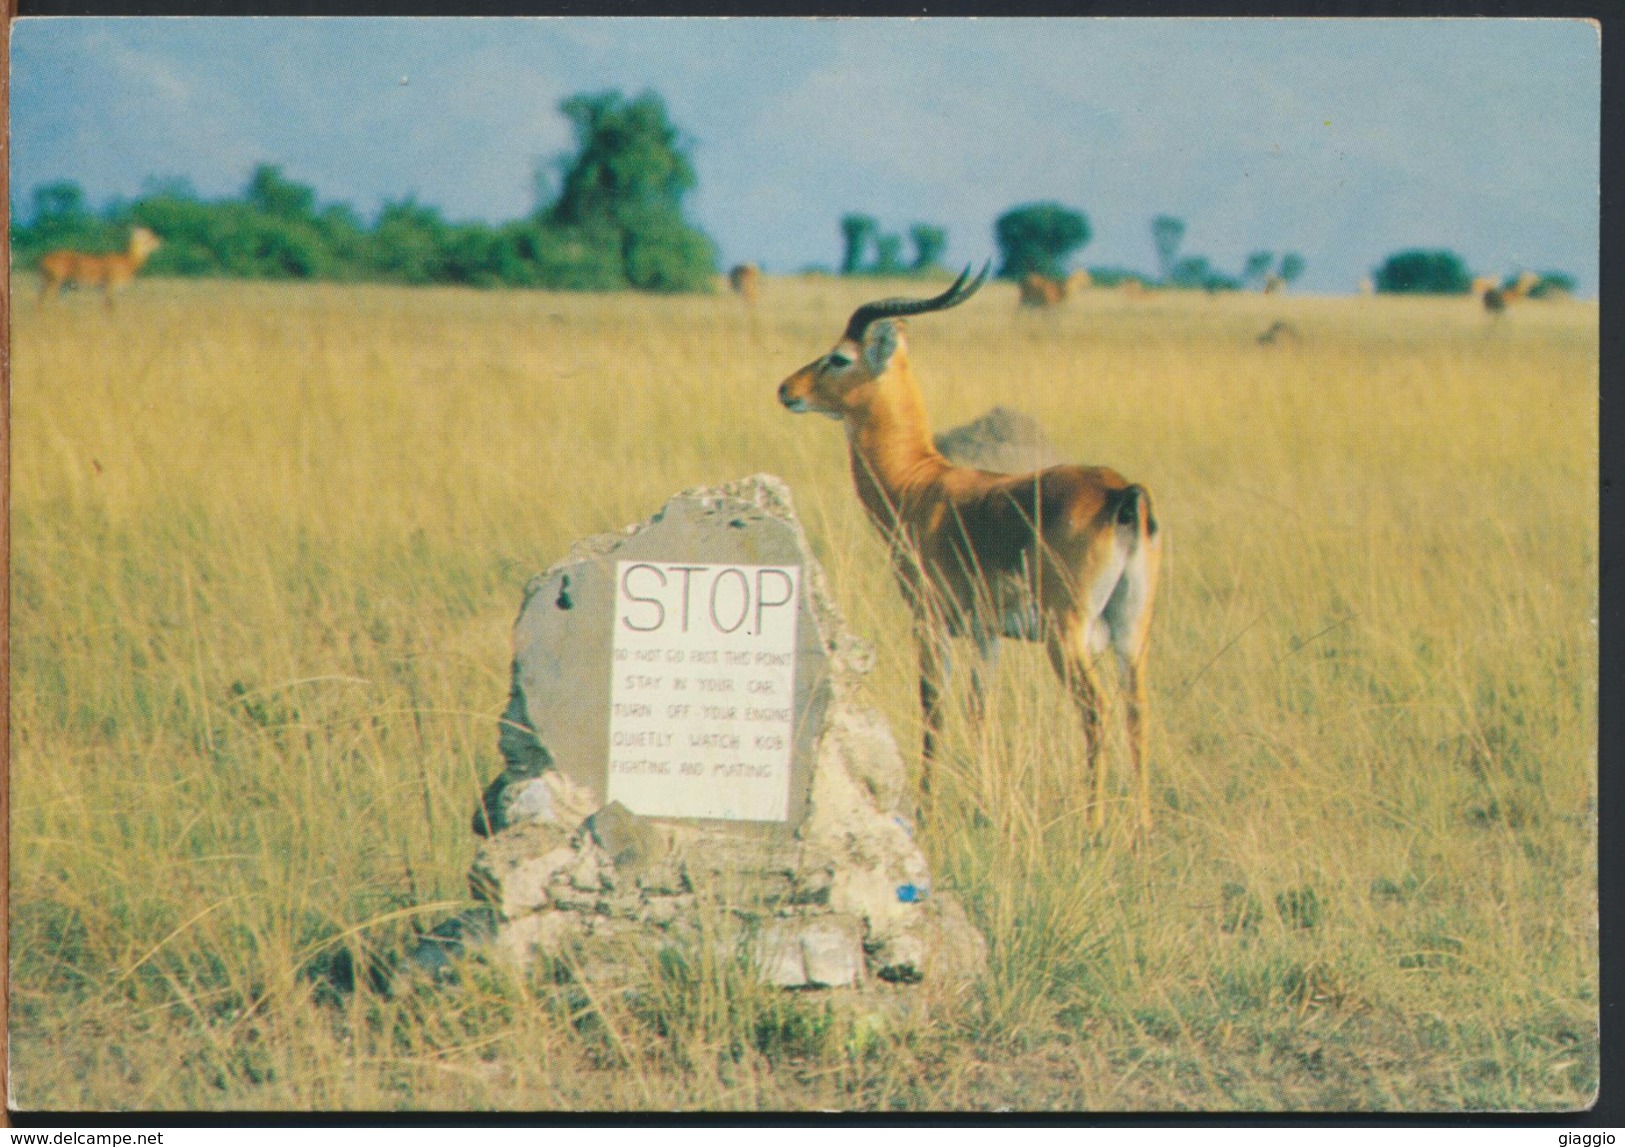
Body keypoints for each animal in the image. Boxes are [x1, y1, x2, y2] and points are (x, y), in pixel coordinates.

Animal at [773, 263, 1157, 825]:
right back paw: (1140, 831)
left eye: (839, 357)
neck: (919, 483)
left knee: (1096, 709)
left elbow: (933, 707)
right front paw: (984, 803)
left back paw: (1094, 826)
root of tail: (1121, 494)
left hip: (1068, 637)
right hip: (1130, 636)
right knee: (1136, 711)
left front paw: (927, 808)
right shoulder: (986, 634)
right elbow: (980, 709)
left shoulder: (929, 623)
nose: (786, 389)